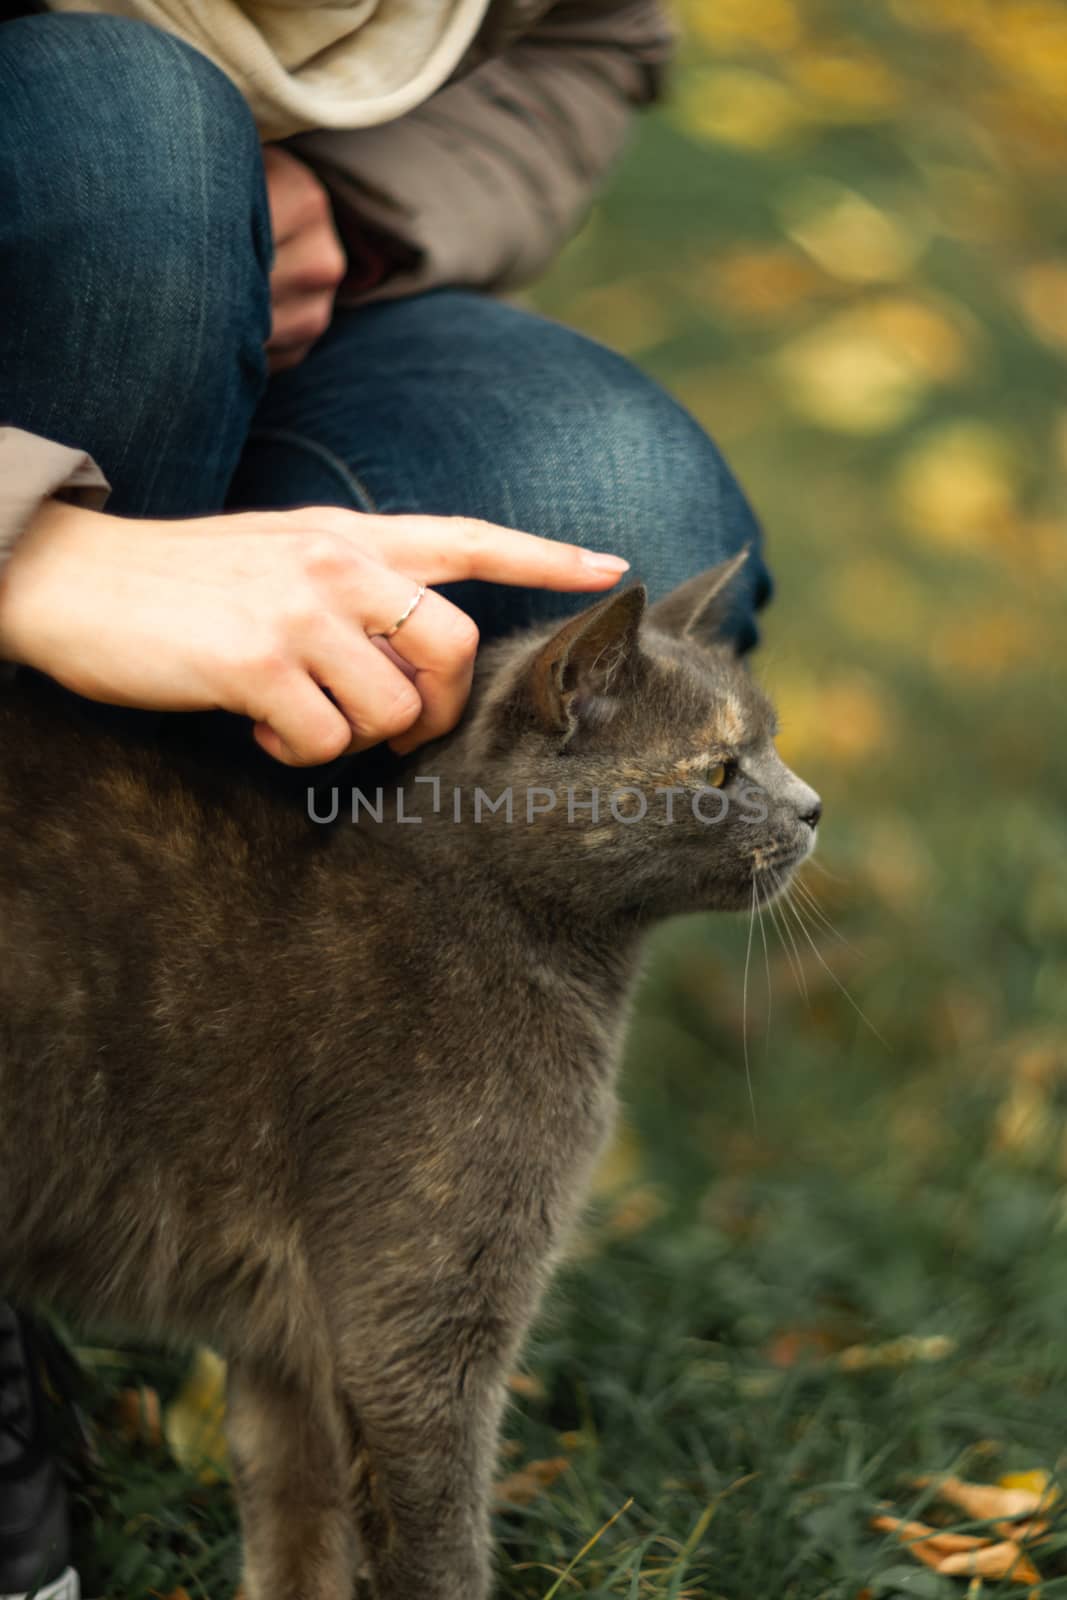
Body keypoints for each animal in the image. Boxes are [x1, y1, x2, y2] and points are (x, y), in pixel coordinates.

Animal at [0, 553, 825, 1600]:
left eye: (771, 741)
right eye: (720, 770)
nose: (812, 806)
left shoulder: (284, 1348)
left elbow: (297, 1525)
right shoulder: (419, 1321)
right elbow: (437, 1540)